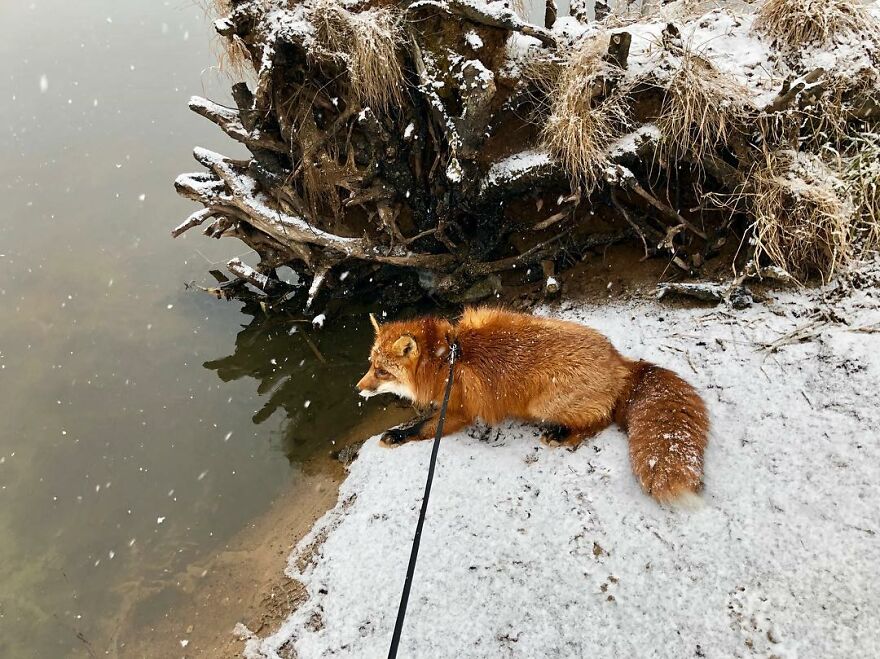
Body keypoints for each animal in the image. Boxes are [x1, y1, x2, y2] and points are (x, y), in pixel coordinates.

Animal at [356, 307, 709, 504]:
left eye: (382, 371)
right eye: (371, 364)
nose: (358, 389)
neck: (447, 358)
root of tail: (618, 361)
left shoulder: (458, 412)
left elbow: (422, 427)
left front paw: (397, 435)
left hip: (544, 404)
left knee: (602, 419)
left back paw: (563, 435)